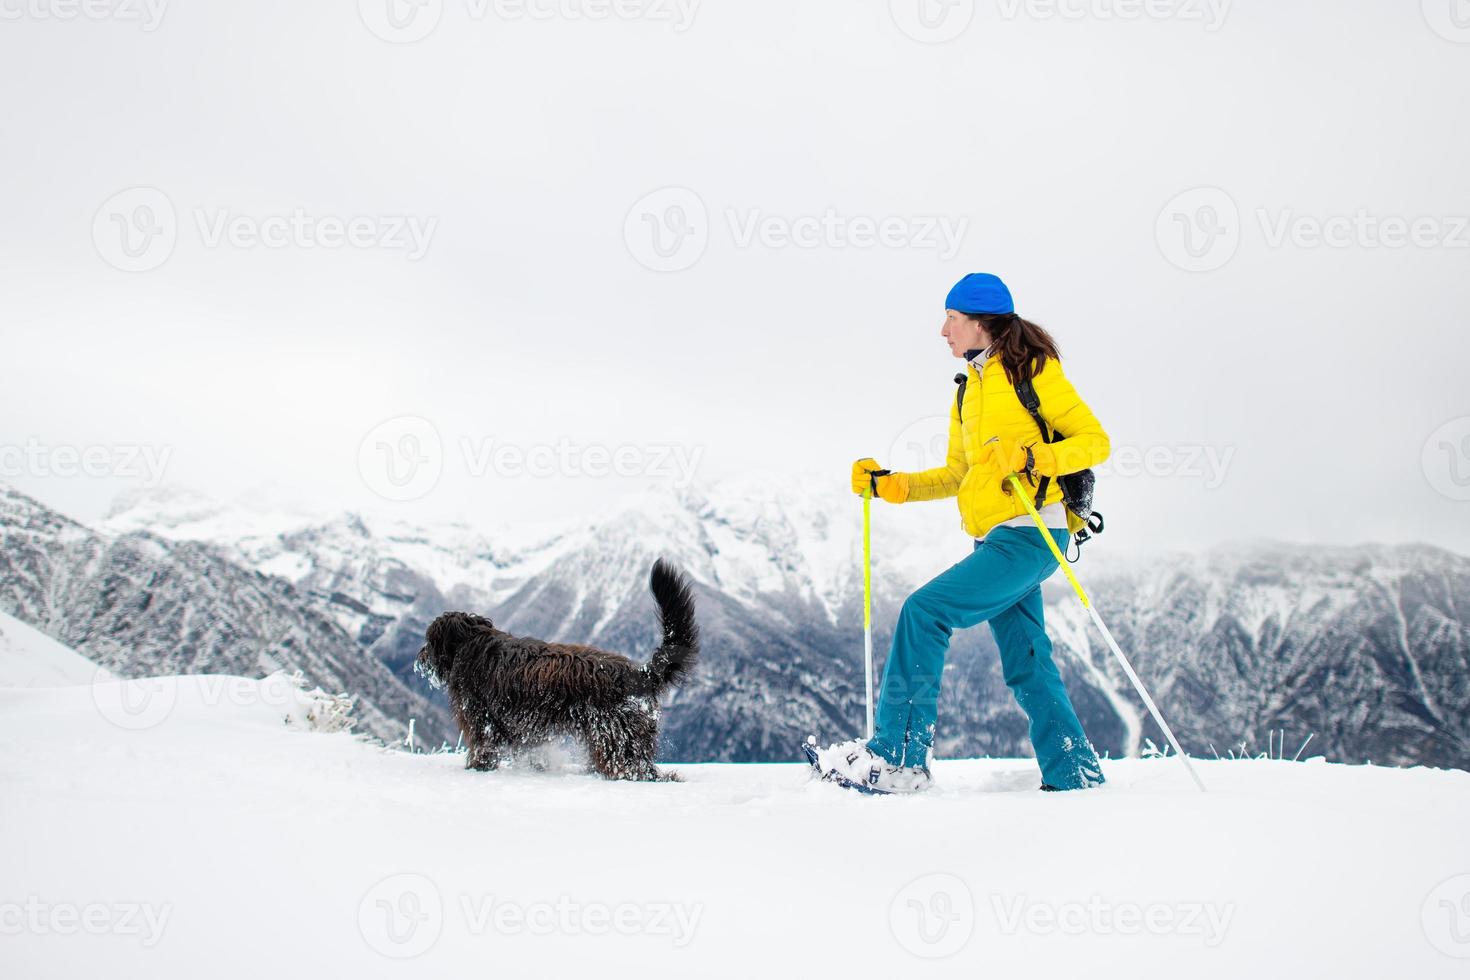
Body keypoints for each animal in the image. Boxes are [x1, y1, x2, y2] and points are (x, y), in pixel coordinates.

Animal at [420, 558, 699, 781]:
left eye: (429, 640)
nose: (420, 658)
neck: (472, 642)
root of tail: (640, 673)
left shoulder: (480, 718)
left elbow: (483, 747)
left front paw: (476, 769)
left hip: (616, 736)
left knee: (635, 768)